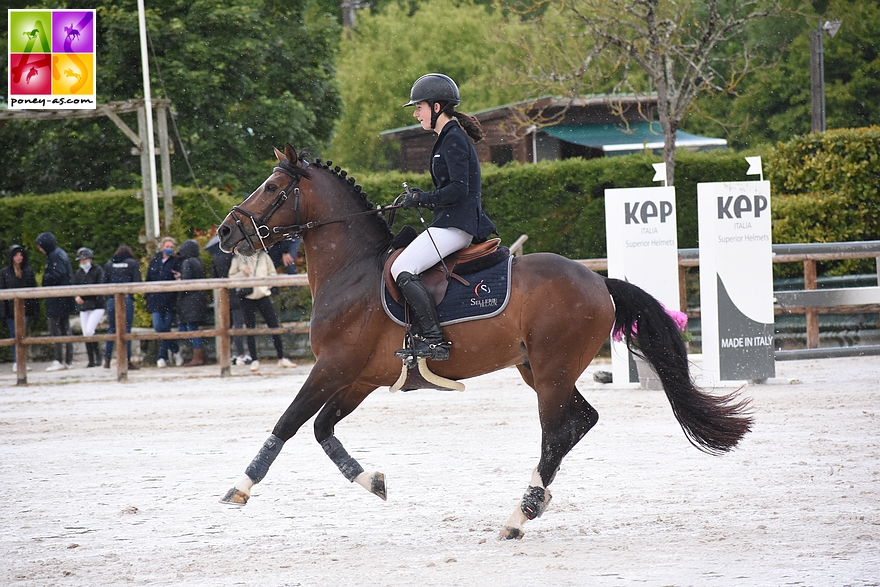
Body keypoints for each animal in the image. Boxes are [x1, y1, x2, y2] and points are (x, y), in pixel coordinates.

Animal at [217, 144, 752, 544]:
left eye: (271, 188)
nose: (225, 231)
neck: (353, 272)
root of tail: (599, 281)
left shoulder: (332, 365)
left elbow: (288, 422)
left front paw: (238, 488)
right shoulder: (360, 377)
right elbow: (321, 429)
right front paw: (374, 482)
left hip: (553, 369)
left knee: (556, 433)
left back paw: (519, 516)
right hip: (537, 369)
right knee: (579, 423)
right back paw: (537, 501)